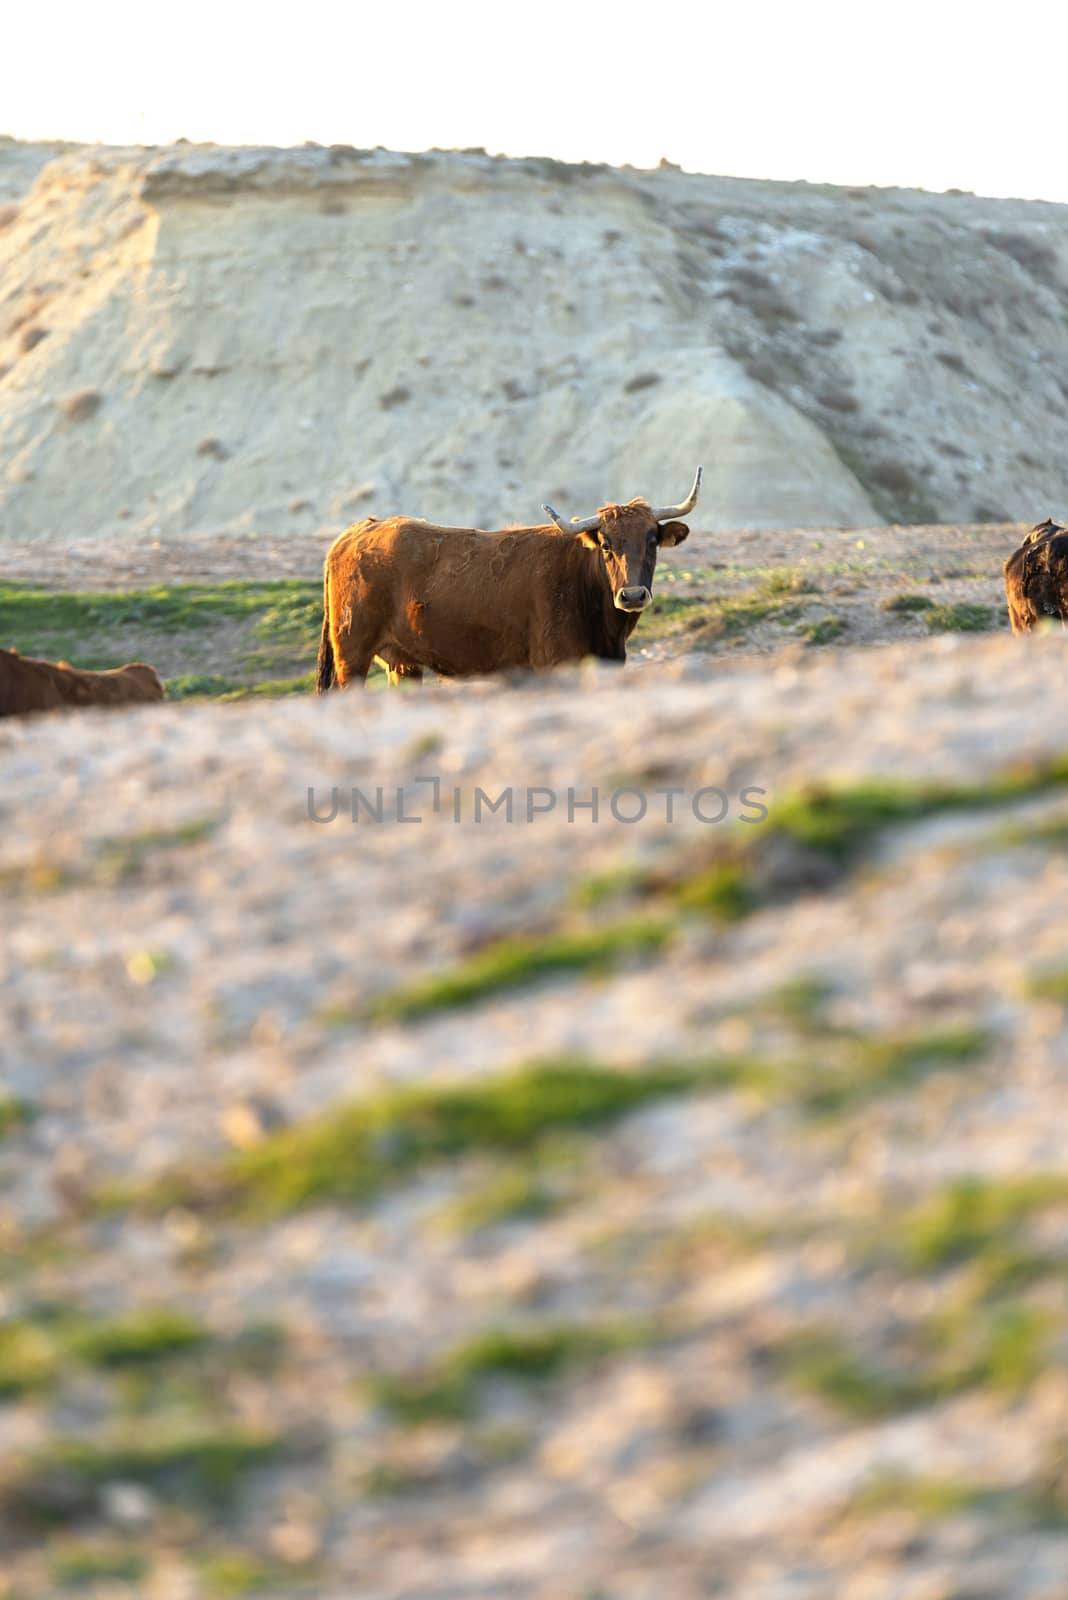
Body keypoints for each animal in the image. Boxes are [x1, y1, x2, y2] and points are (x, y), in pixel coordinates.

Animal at [316, 464, 700, 688]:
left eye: (652, 541)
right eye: (606, 544)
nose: (632, 596)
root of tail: (358, 530)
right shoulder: (554, 664)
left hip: (404, 664)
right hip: (352, 656)